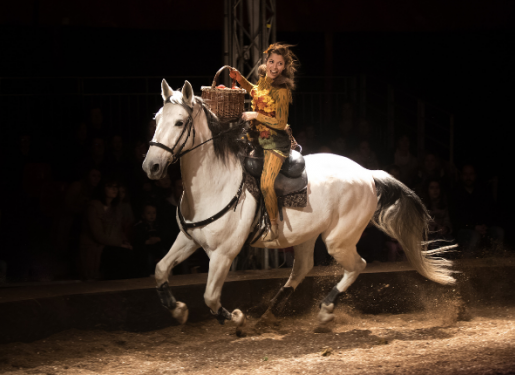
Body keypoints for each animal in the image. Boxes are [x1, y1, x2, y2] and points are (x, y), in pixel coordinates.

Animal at [142, 79, 456, 334]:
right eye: (156, 118)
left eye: (180, 122)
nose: (151, 166)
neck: (216, 184)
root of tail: (368, 174)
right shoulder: (188, 239)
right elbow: (160, 269)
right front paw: (178, 310)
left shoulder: (223, 253)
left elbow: (210, 296)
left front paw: (236, 319)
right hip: (306, 236)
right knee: (302, 269)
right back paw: (269, 315)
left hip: (338, 240)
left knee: (357, 265)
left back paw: (325, 312)